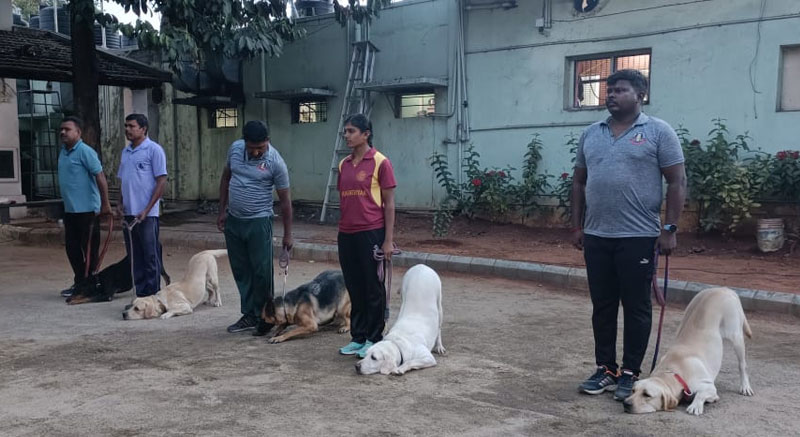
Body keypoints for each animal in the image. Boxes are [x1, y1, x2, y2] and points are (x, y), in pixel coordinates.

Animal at [624, 287, 754, 415]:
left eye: (647, 395)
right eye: (633, 390)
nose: (625, 403)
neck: (673, 371)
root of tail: (723, 289)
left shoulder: (709, 387)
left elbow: (701, 394)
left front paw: (696, 406)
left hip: (736, 336)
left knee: (742, 365)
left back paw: (745, 386)